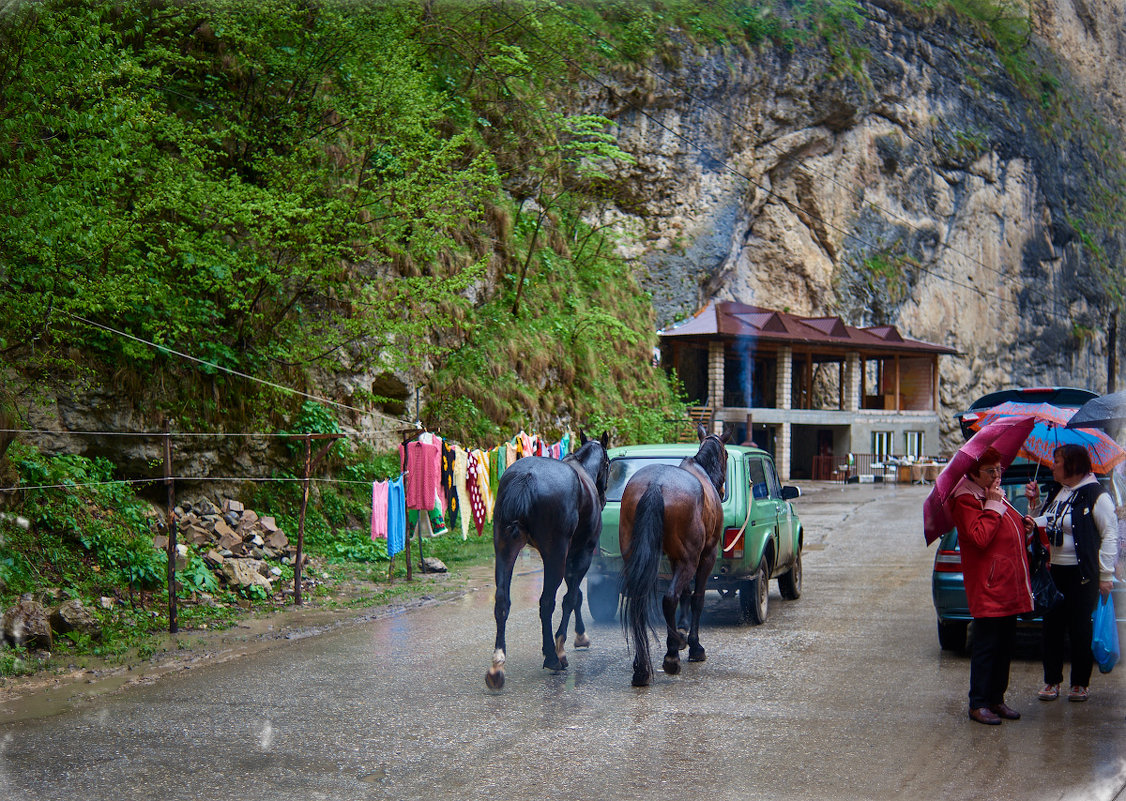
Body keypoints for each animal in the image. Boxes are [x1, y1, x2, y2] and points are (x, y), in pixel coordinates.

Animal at [484, 432, 608, 689]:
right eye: (609, 463)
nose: (603, 497)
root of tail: (526, 477)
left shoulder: (572, 555)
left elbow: (576, 595)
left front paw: (580, 636)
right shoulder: (581, 553)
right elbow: (571, 598)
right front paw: (564, 645)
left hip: (505, 546)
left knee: (502, 601)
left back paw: (497, 664)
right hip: (555, 554)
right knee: (546, 602)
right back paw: (552, 656)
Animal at [617, 425, 729, 689]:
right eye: (727, 454)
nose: (722, 491)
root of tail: (655, 485)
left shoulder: (674, 559)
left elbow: (686, 594)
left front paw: (682, 631)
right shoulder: (705, 556)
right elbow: (696, 597)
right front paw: (694, 645)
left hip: (637, 556)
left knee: (639, 603)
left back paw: (641, 668)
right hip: (690, 561)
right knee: (669, 599)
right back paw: (671, 656)